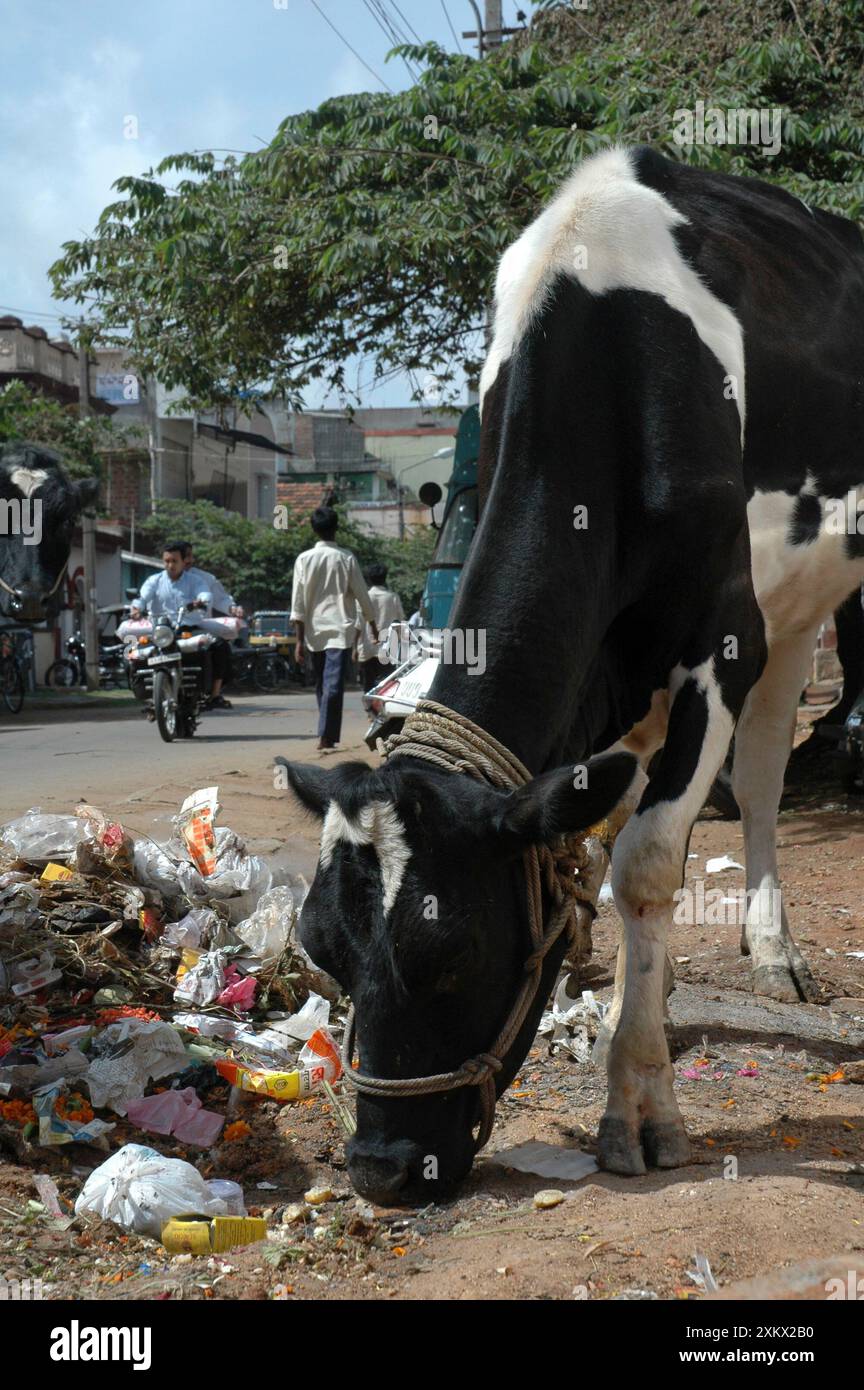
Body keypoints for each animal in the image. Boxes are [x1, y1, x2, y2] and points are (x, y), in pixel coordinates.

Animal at [283, 146, 864, 1200]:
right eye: (322, 951)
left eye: (453, 952)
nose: (382, 1170)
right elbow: (601, 837)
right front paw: (625, 1004)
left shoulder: (723, 637)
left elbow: (645, 863)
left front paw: (639, 1104)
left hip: (803, 601)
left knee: (762, 775)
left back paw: (772, 950)